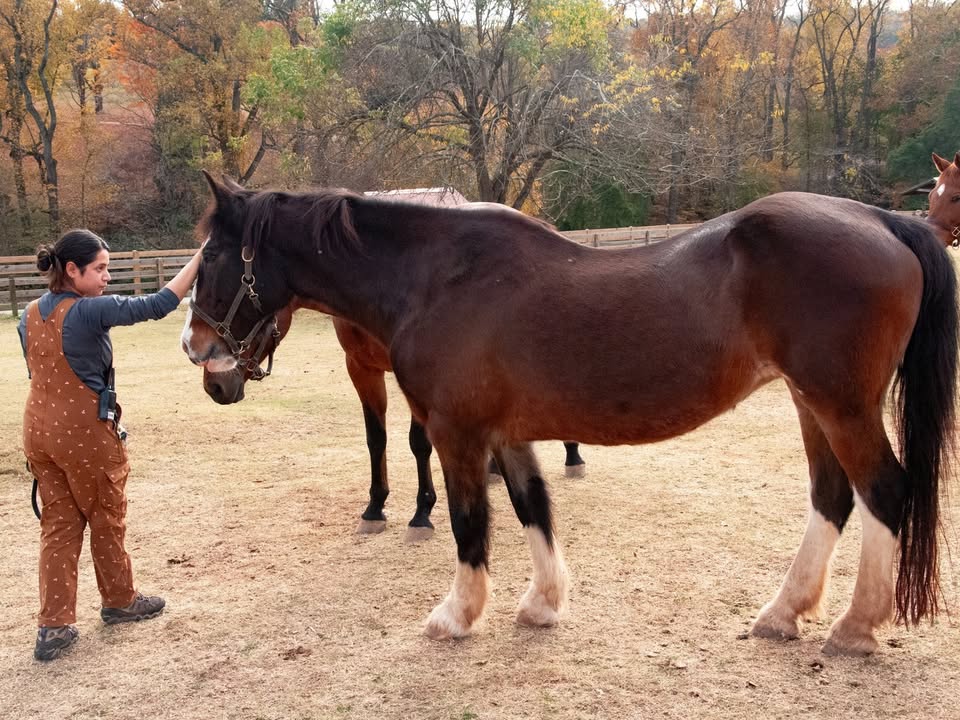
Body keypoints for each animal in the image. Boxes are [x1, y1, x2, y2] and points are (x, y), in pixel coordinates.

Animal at [196, 296, 585, 542]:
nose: (214, 385)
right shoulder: (361, 369)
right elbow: (375, 439)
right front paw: (375, 507)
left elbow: (418, 443)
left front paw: (422, 512)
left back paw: (573, 456)